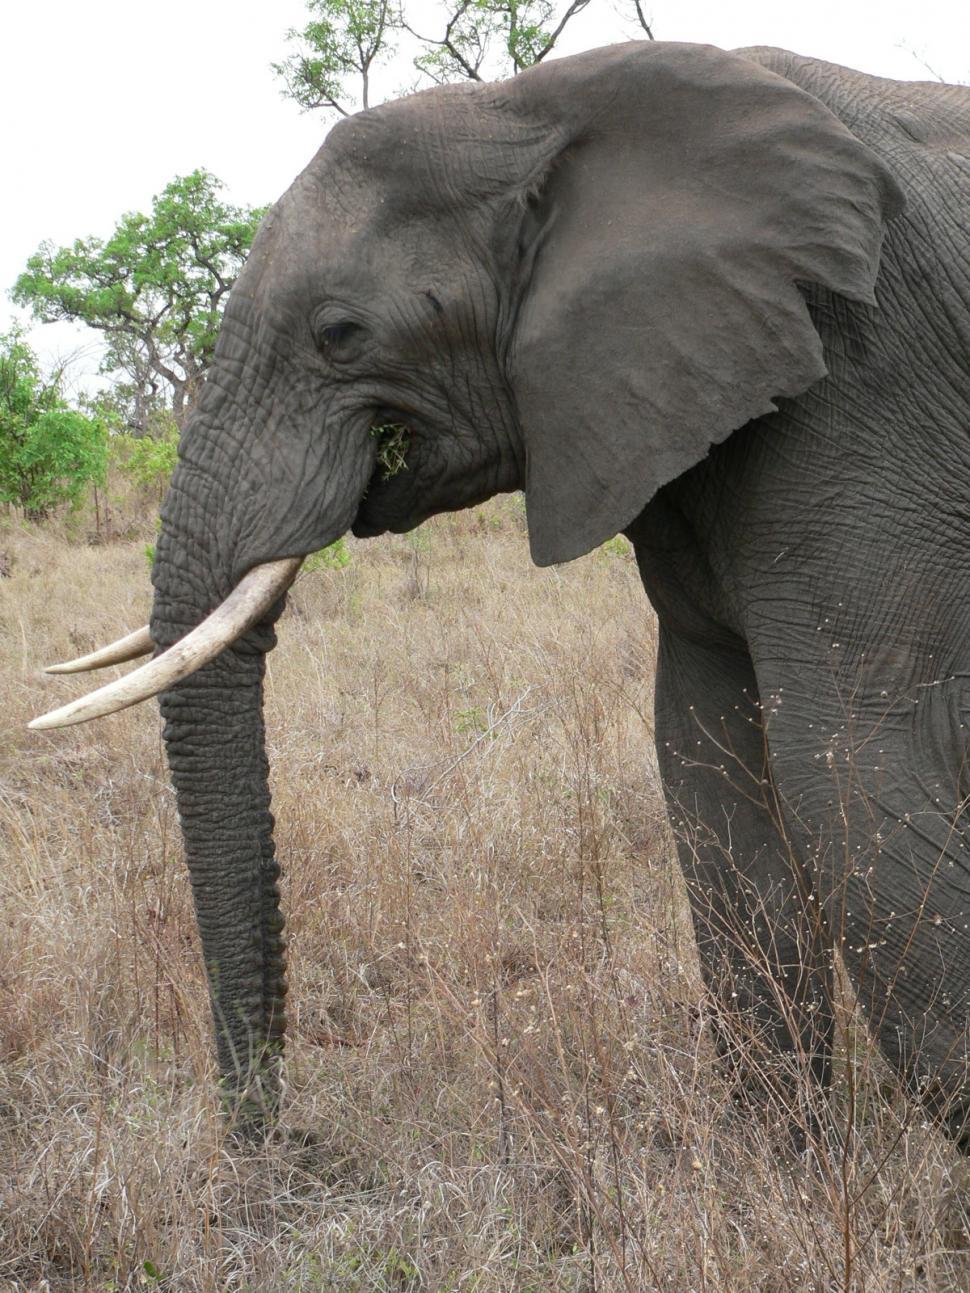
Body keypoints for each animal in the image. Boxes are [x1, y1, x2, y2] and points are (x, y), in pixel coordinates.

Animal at [32, 40, 970, 1145]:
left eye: (340, 334)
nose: (270, 1147)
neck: (534, 113)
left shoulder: (864, 380)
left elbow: (858, 780)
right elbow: (708, 775)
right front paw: (782, 1163)